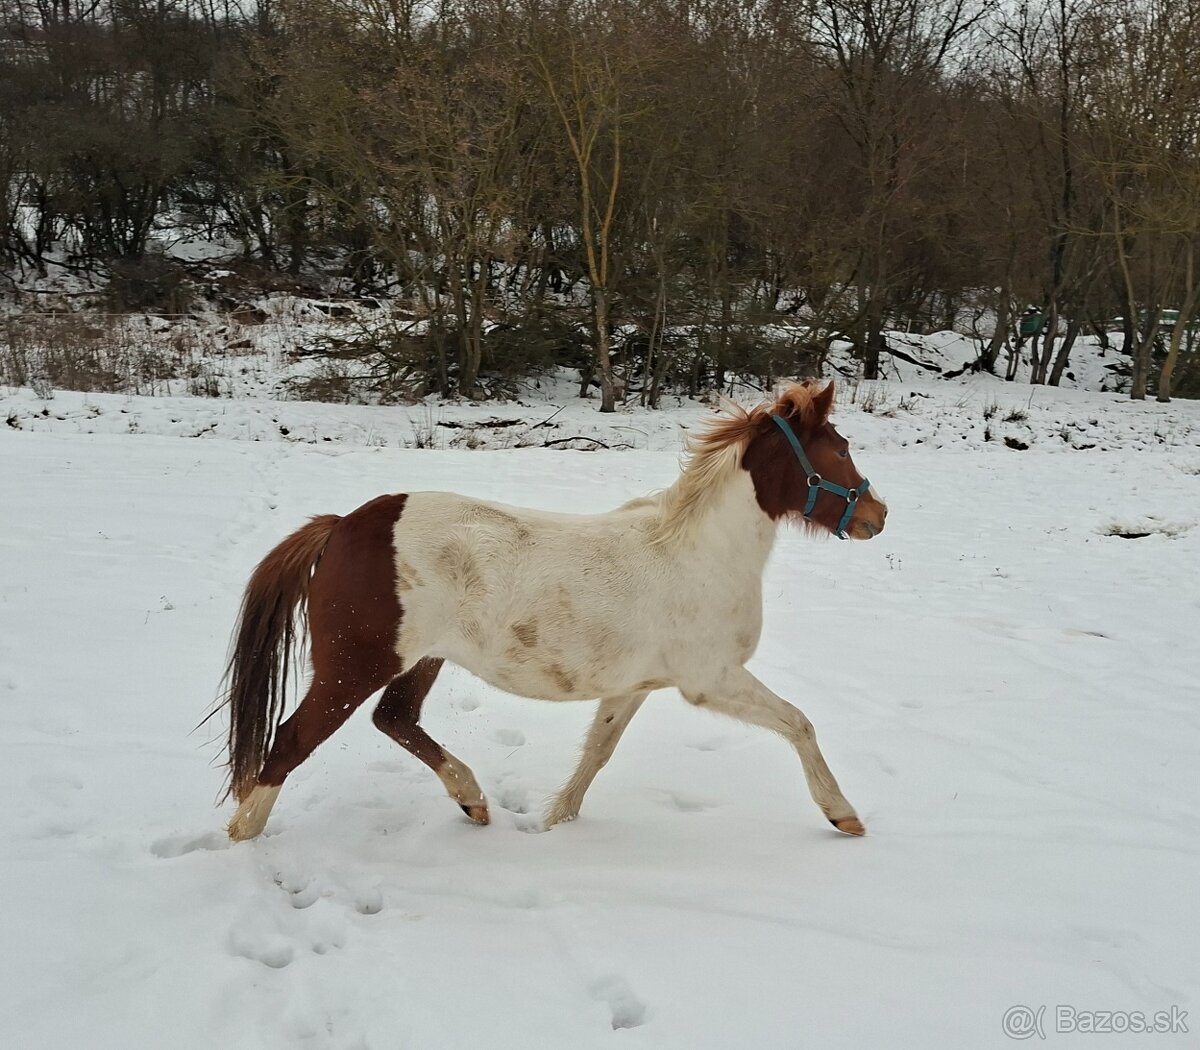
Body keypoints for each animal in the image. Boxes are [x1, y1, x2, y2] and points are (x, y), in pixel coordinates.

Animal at [218, 380, 887, 842]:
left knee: (396, 719)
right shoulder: (711, 680)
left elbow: (598, 752)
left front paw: (556, 822)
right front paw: (844, 816)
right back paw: (243, 837)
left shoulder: (634, 686)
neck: (701, 552)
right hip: (354, 666)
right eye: (839, 450)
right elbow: (800, 723)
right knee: (291, 741)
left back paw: (473, 799)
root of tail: (342, 527)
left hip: (421, 660)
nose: (878, 516)